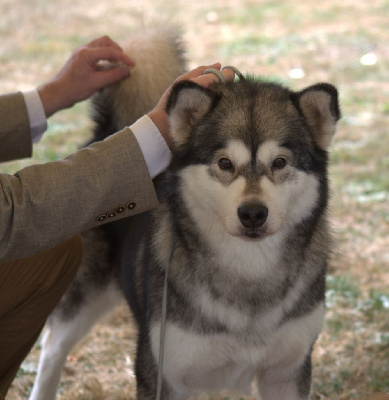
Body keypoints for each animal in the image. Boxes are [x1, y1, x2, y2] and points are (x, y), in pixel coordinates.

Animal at [28, 28, 338, 400]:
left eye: (279, 162)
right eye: (225, 163)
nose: (252, 214)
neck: (249, 274)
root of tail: (108, 133)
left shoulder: (287, 372)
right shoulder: (162, 371)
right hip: (83, 296)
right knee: (52, 350)